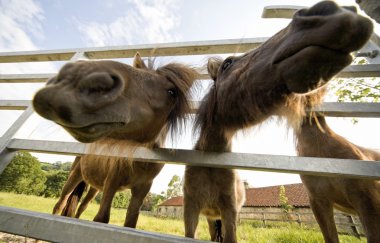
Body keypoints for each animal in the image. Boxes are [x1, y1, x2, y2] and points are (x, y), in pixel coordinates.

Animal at [33, 52, 197, 226]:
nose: (77, 76)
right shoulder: (112, 182)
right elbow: (101, 218)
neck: (140, 161)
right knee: (60, 204)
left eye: (172, 92)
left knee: (81, 207)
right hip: (75, 176)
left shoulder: (141, 190)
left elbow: (130, 222)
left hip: (95, 187)